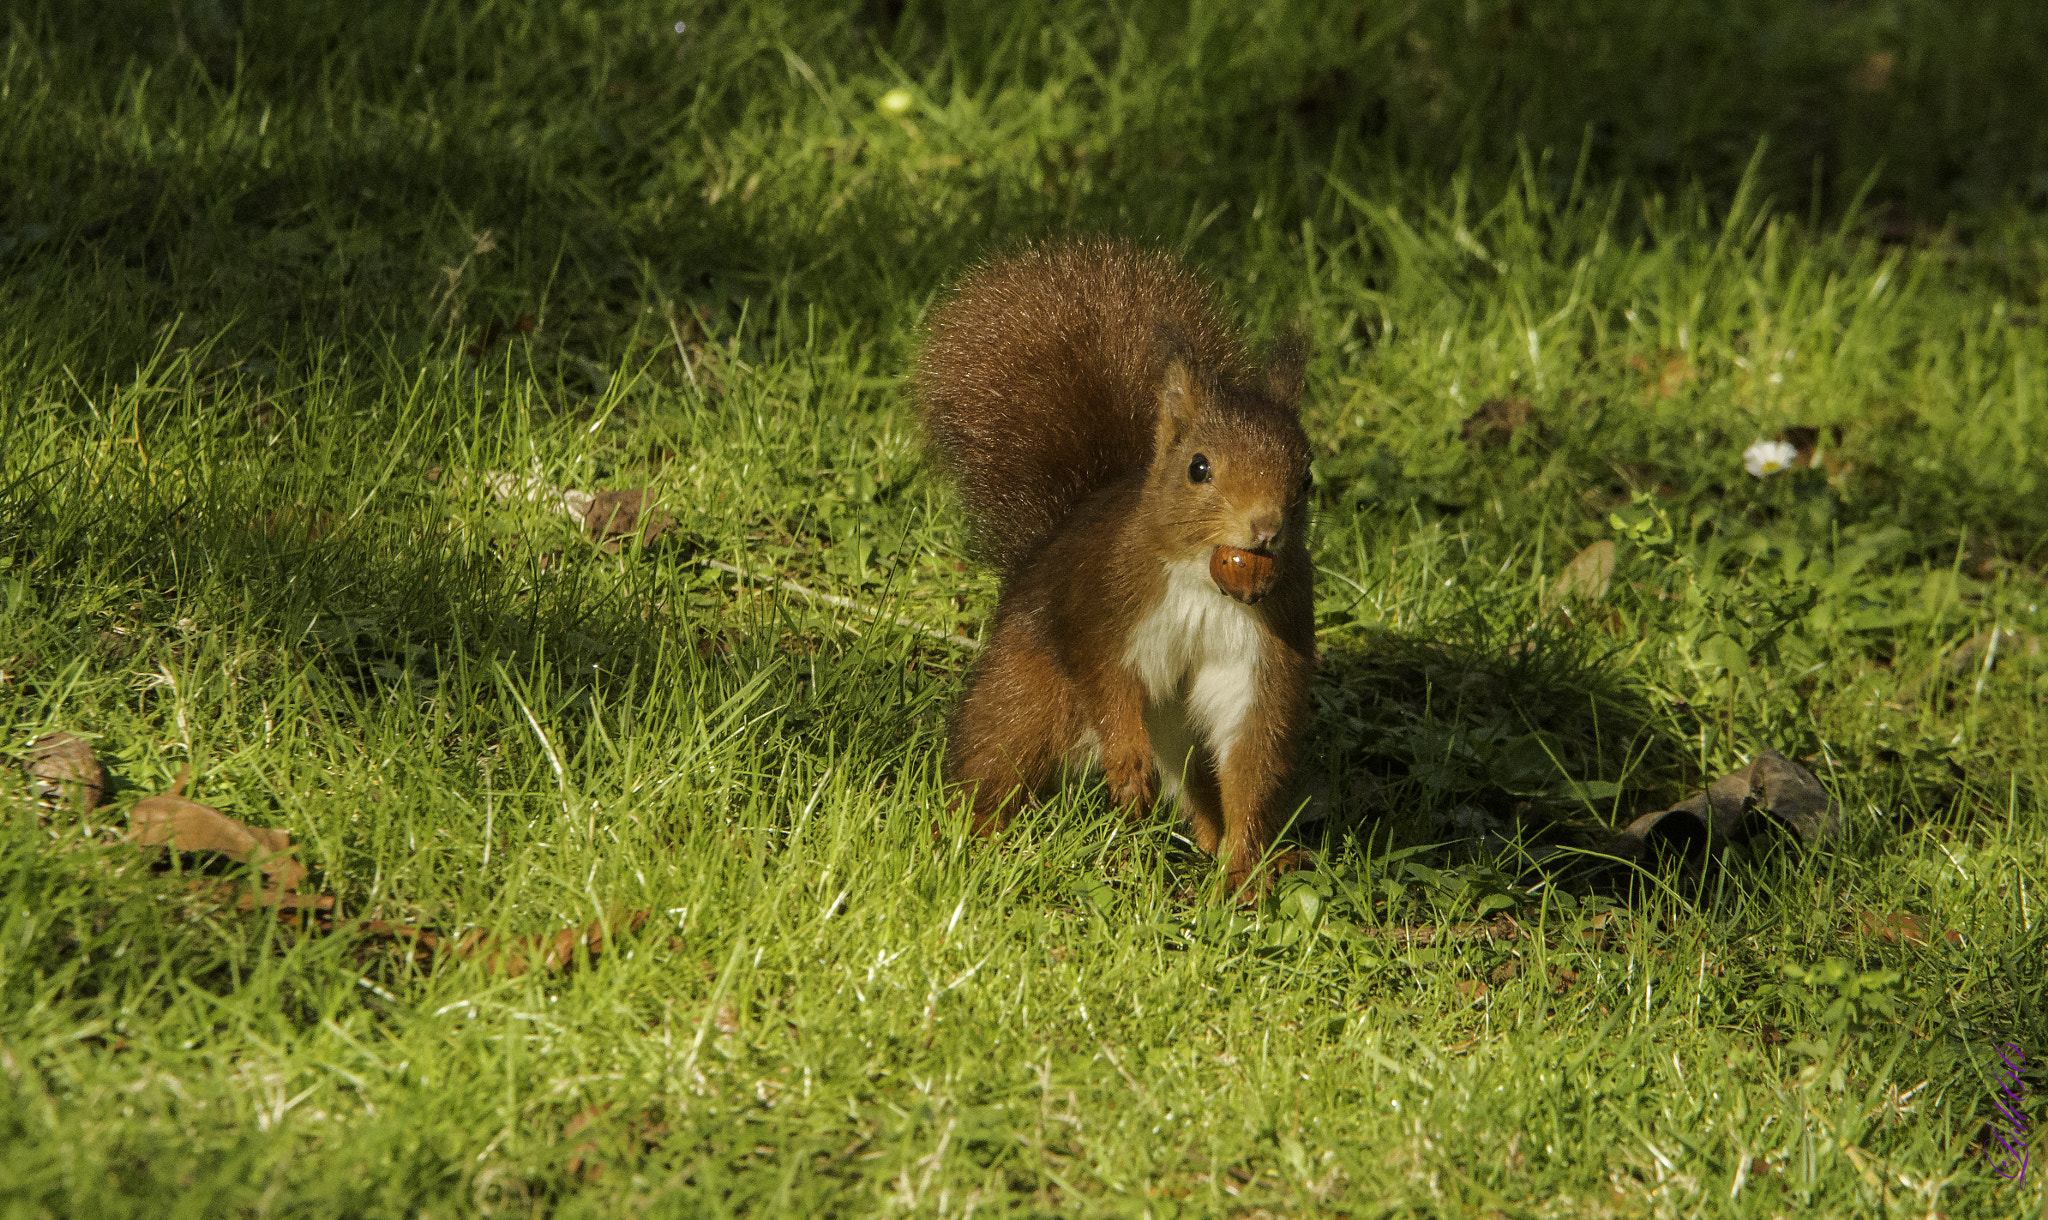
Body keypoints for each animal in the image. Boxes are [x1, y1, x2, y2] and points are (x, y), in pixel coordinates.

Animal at [917, 238, 1310, 896]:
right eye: (1198, 467)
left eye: (1307, 478)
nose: (1265, 528)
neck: (1206, 583)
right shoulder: (1107, 602)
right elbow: (1107, 682)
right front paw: (1127, 771)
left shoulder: (1266, 645)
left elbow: (1248, 754)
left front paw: (1244, 871)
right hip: (1029, 689)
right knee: (998, 751)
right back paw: (974, 833)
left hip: (1182, 736)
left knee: (1200, 785)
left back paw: (1223, 844)